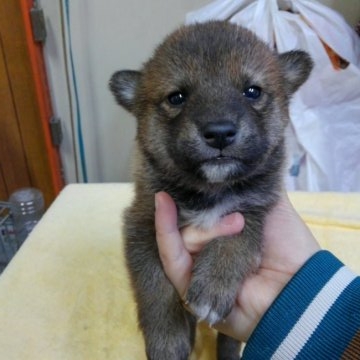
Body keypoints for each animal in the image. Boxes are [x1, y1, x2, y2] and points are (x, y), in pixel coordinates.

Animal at [109, 21, 312, 358]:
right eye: (177, 97)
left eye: (252, 91)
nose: (219, 133)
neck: (211, 190)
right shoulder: (143, 221)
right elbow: (154, 285)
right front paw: (167, 338)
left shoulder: (255, 206)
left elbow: (236, 237)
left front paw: (214, 285)